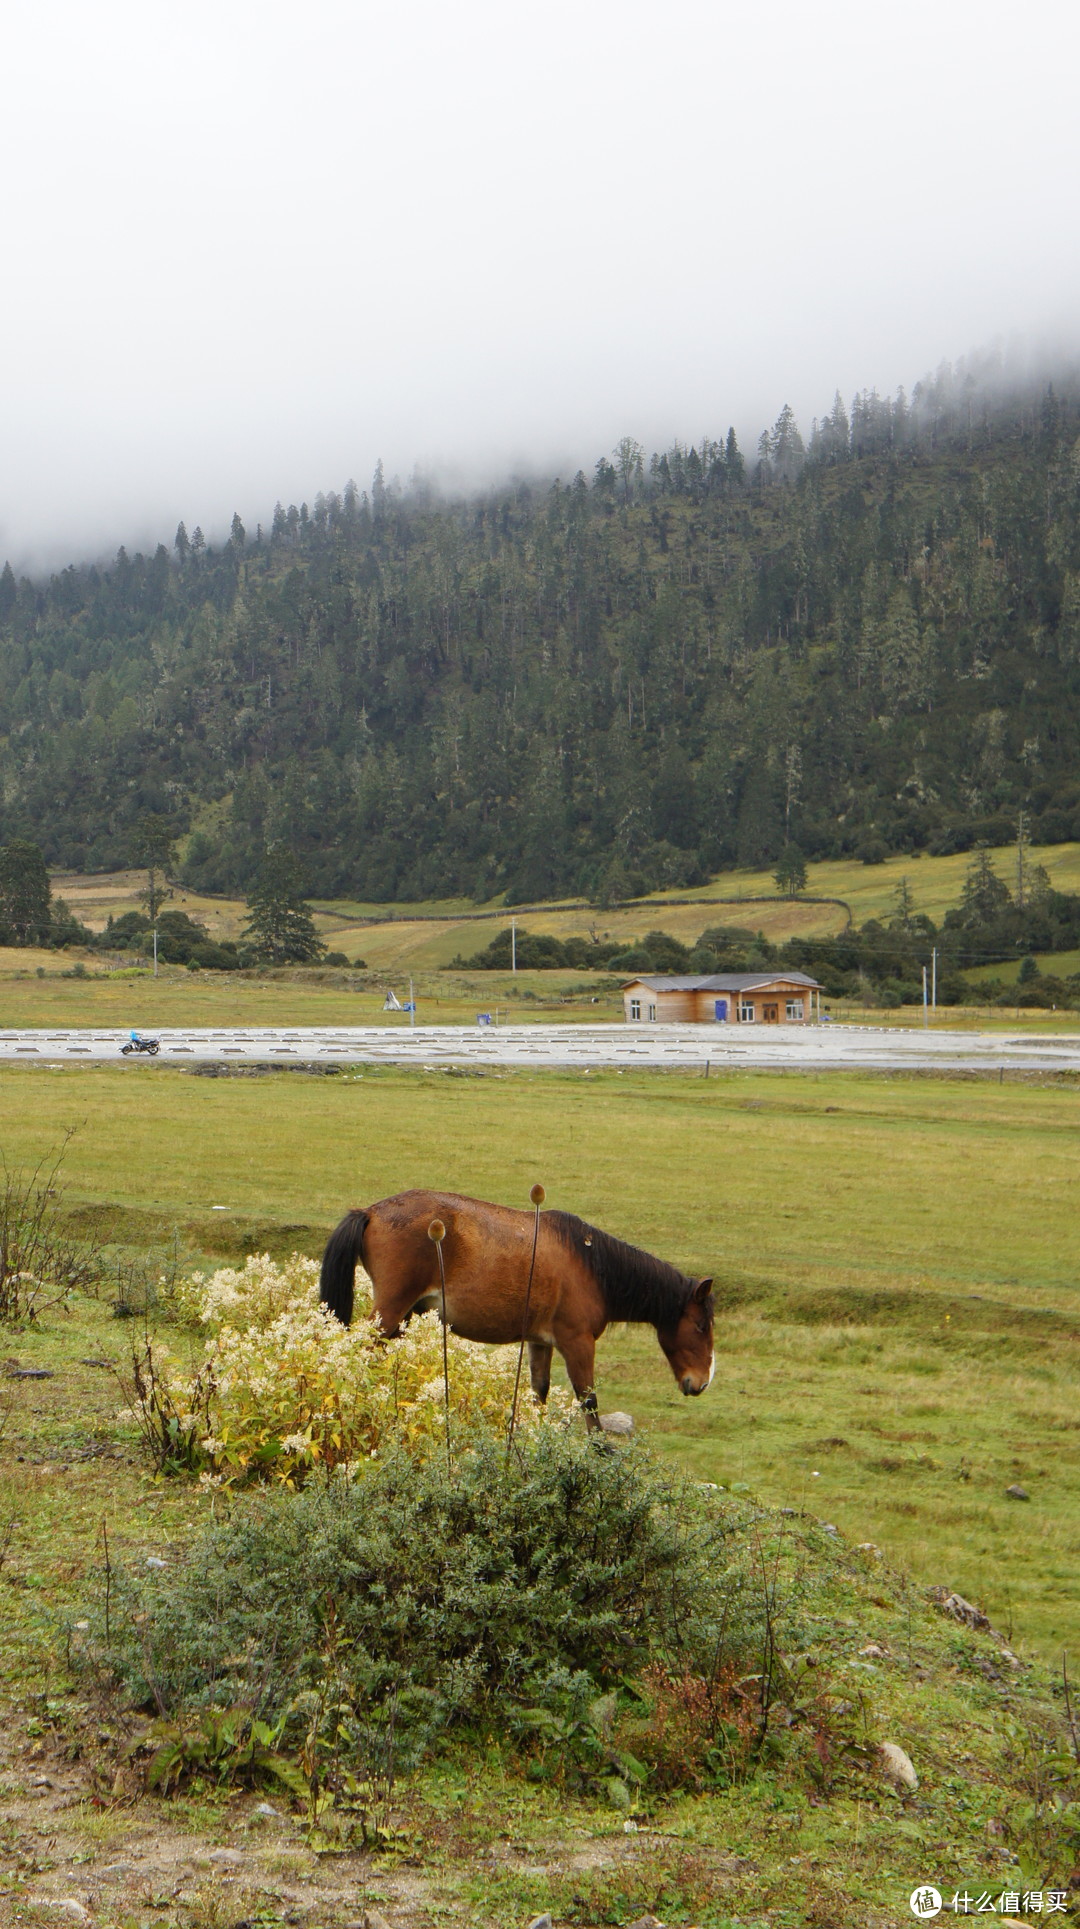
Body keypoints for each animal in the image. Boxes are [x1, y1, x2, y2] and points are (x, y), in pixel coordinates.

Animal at [316, 1180, 713, 1427]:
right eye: (700, 1326)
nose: (700, 1383)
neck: (591, 1264)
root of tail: (370, 1211)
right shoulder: (578, 1343)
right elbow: (588, 1401)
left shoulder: (540, 1342)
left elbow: (539, 1393)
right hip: (390, 1313)